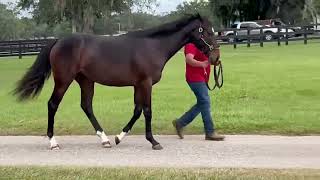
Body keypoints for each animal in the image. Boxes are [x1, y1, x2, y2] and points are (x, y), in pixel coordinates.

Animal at [14, 13, 220, 150]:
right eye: (207, 32)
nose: (215, 58)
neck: (152, 46)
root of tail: (58, 41)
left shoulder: (138, 85)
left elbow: (137, 111)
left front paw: (119, 137)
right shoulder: (145, 84)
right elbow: (147, 111)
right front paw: (154, 142)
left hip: (86, 81)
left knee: (86, 106)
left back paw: (104, 140)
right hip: (63, 80)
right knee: (52, 104)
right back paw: (53, 142)